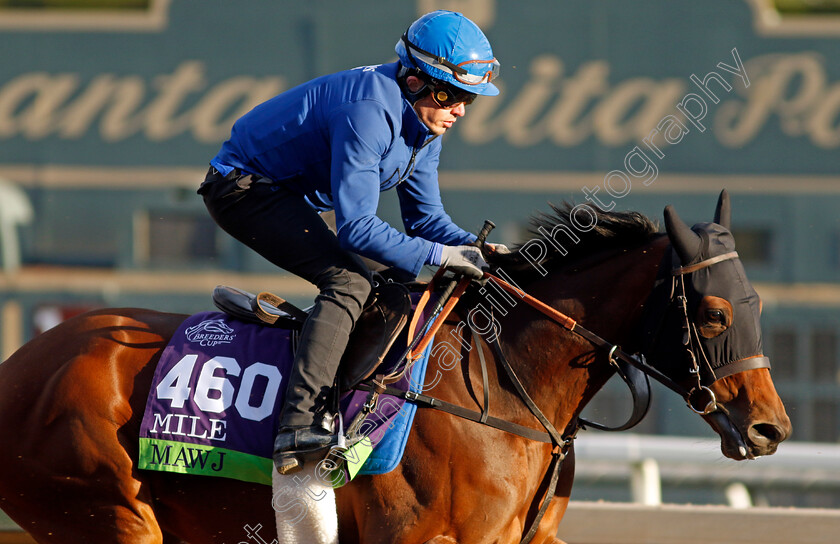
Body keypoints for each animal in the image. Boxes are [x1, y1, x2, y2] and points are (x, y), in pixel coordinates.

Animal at [0, 192, 788, 544]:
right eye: (715, 315)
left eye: (756, 304)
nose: (771, 428)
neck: (502, 388)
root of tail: (20, 365)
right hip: (109, 512)